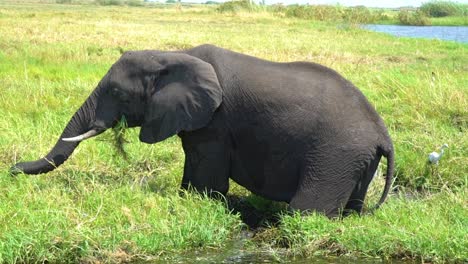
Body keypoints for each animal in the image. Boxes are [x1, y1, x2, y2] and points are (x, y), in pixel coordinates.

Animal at [11, 43, 394, 217]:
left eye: (119, 94)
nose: (11, 169)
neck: (171, 54)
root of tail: (383, 134)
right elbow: (192, 160)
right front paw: (186, 198)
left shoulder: (217, 121)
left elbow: (207, 169)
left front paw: (203, 201)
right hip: (355, 158)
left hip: (335, 153)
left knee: (305, 210)